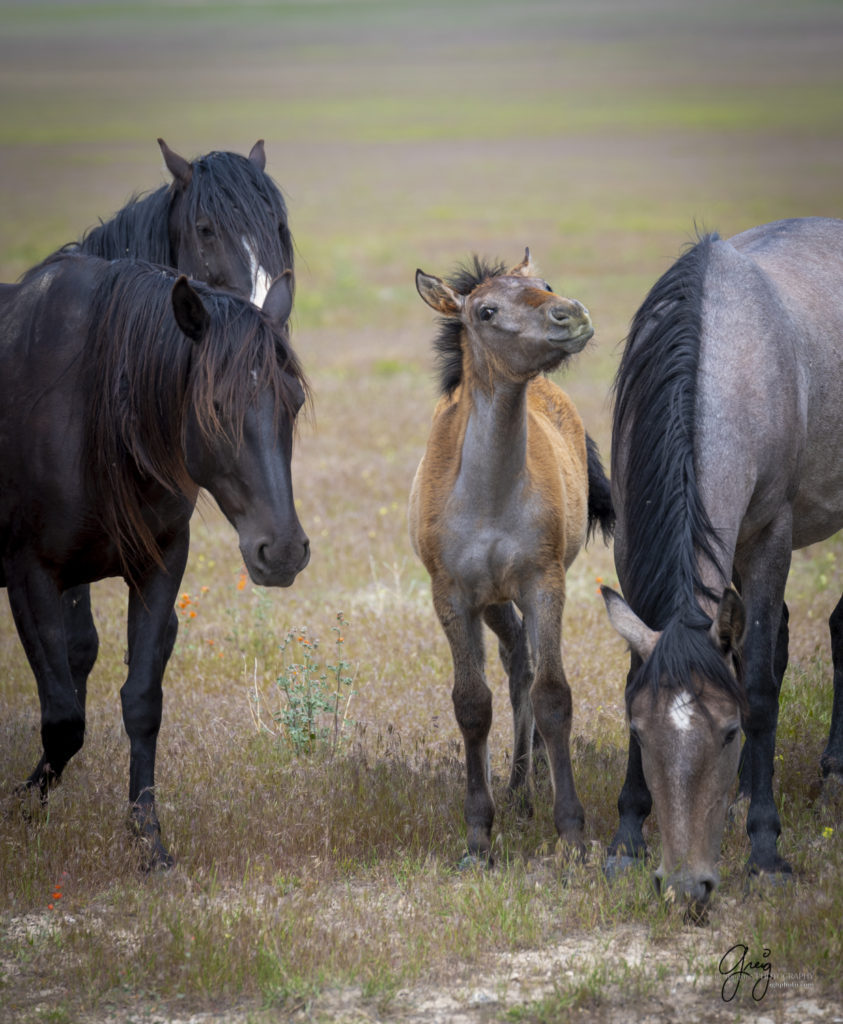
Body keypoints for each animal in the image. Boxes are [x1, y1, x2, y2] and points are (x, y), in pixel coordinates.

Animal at [0, 251, 309, 868]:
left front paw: (149, 840)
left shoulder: (159, 566)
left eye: (296, 402)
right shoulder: (30, 574)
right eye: (215, 406)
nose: (284, 550)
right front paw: (21, 804)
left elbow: (140, 702)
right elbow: (63, 718)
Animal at [409, 251, 614, 860]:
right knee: (516, 659)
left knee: (529, 666)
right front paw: (478, 834)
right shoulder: (453, 596)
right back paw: (519, 785)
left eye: (544, 284)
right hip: (493, 602)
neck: (488, 494)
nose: (570, 314)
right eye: (486, 311)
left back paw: (534, 779)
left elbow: (554, 696)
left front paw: (571, 831)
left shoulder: (544, 583)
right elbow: (472, 704)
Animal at [598, 214, 843, 913]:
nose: (687, 885)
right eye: (640, 732)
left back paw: (831, 773)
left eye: (730, 732)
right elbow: (640, 669)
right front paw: (627, 838)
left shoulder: (769, 535)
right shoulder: (633, 545)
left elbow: (758, 684)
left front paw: (766, 851)